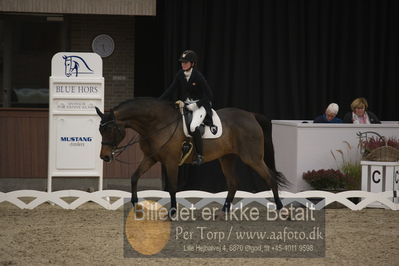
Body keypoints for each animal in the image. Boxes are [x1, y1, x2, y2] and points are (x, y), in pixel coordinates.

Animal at [96, 97, 288, 214]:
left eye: (110, 129)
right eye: (100, 130)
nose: (104, 157)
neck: (158, 124)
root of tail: (251, 115)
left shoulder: (171, 162)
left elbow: (172, 187)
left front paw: (172, 212)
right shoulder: (151, 158)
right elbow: (134, 177)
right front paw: (135, 203)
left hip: (252, 158)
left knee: (270, 178)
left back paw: (280, 209)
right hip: (227, 158)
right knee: (233, 183)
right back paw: (224, 211)